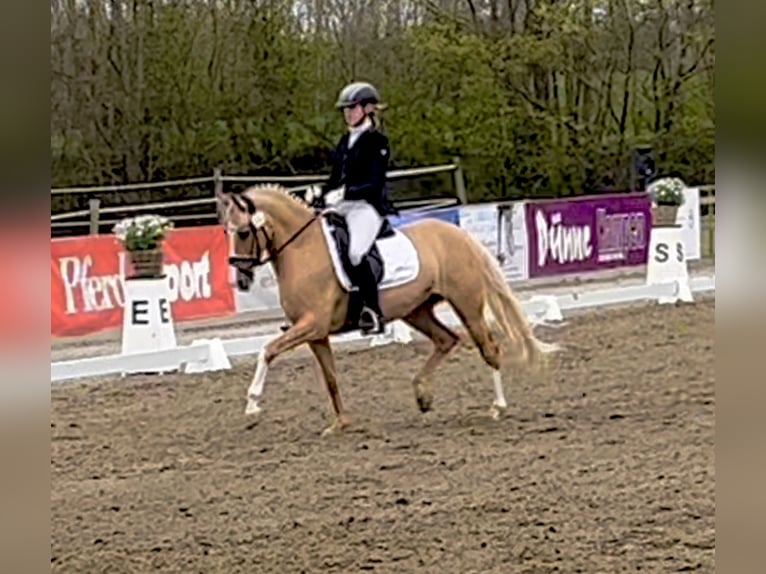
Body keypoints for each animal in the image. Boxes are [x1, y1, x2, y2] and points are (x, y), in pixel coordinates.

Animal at [216, 186, 560, 436]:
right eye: (226, 232)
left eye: (243, 232)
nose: (241, 278)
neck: (304, 251)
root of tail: (458, 234)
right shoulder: (316, 334)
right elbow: (330, 378)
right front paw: (341, 423)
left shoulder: (312, 324)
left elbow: (268, 350)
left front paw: (252, 404)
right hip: (416, 310)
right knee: (446, 340)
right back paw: (422, 395)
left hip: (467, 304)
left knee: (489, 348)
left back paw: (497, 407)